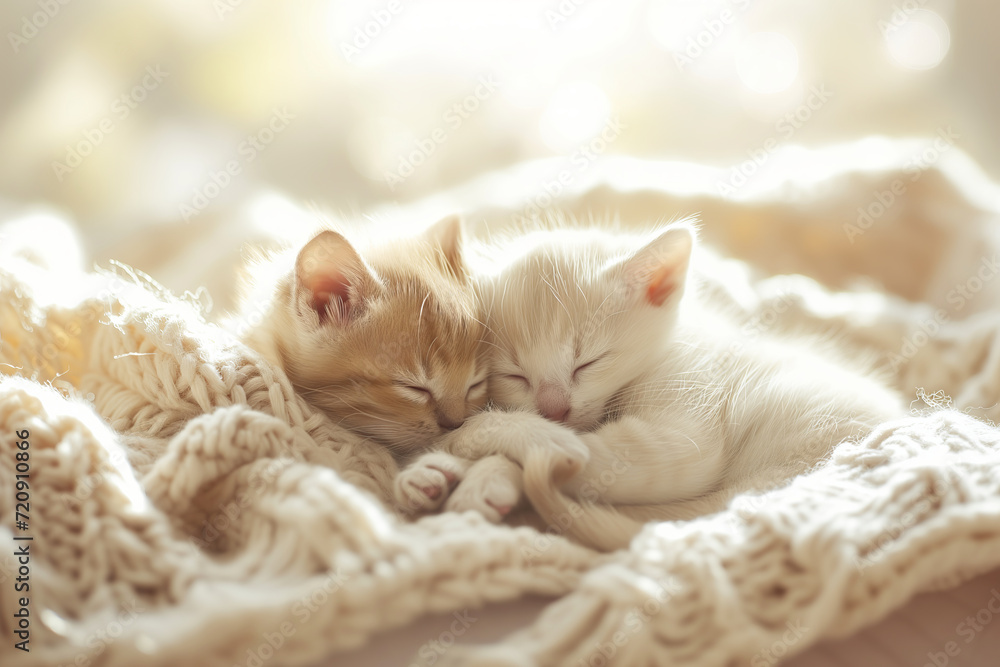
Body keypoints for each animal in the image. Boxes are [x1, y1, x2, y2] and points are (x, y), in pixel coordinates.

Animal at [396, 222, 908, 552]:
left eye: (588, 362)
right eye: (514, 375)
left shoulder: (686, 415)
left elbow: (570, 450)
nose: (555, 408)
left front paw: (468, 451)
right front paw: (435, 470)